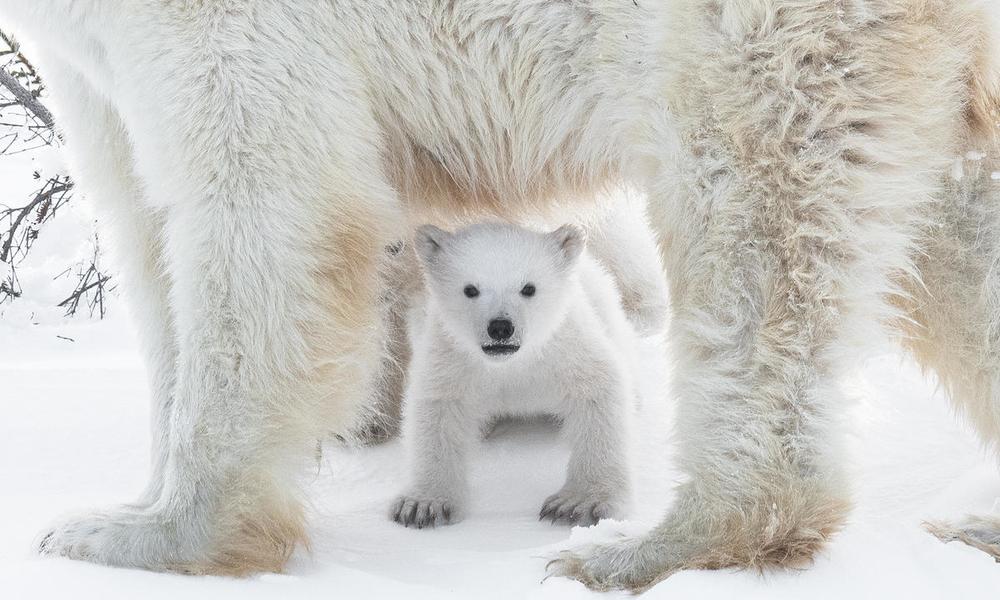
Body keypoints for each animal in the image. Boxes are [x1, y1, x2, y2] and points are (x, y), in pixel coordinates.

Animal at [1, 0, 1000, 592]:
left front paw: (135, 537)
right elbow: (141, 220)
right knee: (955, 221)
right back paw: (977, 522)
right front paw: (132, 504)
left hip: (756, 37)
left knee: (751, 214)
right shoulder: (87, 58)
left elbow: (265, 195)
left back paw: (652, 544)